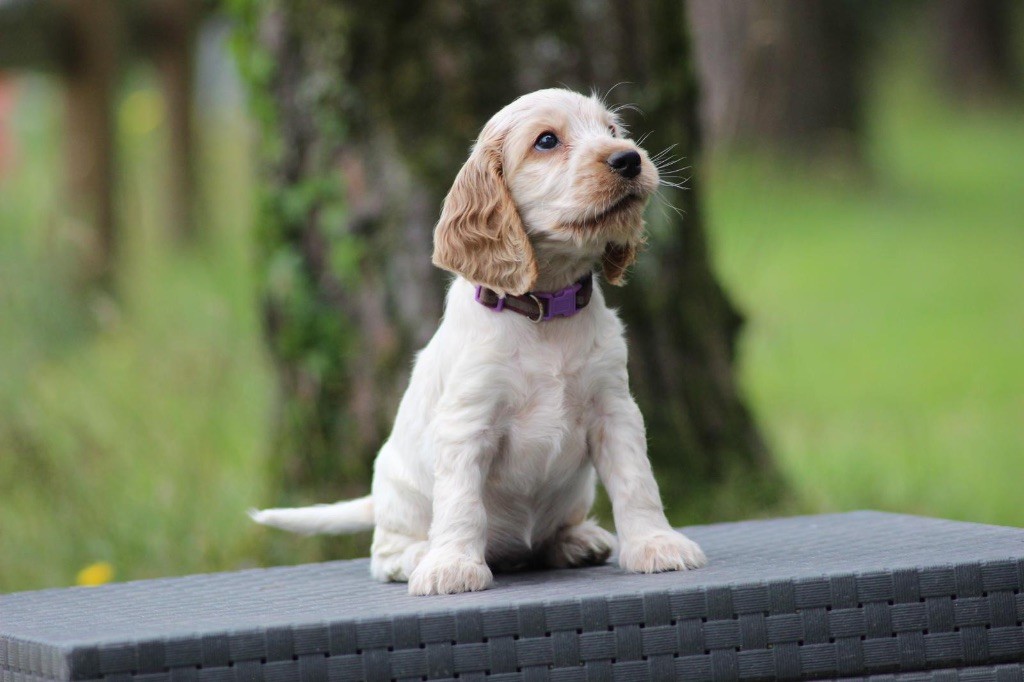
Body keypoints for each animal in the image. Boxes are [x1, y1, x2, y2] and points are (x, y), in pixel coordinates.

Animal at [251, 87, 708, 593]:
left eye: (611, 130)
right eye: (546, 141)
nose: (629, 159)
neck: (545, 310)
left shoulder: (615, 411)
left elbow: (636, 482)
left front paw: (655, 544)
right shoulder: (467, 424)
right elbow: (460, 504)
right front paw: (451, 566)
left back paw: (576, 539)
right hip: (399, 498)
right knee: (384, 553)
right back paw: (420, 555)